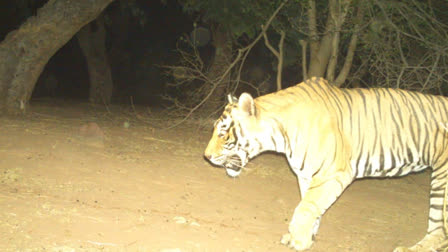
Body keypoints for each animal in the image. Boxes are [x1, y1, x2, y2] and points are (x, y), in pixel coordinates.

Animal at [204, 77, 448, 252]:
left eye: (223, 133)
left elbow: (304, 208)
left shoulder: (334, 173)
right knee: (437, 230)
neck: (280, 136)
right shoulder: (306, 175)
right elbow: (310, 206)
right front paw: (306, 238)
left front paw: (298, 240)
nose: (206, 157)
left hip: (442, 181)